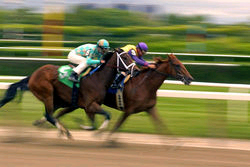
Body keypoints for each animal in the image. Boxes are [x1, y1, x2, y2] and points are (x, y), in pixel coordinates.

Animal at [0, 51, 137, 138]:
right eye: (125, 58)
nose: (135, 70)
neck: (97, 79)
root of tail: (32, 76)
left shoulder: (89, 107)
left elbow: (94, 124)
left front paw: (91, 129)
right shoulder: (89, 105)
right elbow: (106, 115)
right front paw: (94, 130)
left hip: (58, 100)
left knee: (49, 115)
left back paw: (56, 128)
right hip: (47, 94)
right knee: (49, 115)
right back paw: (64, 131)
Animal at [52, 53, 193, 136]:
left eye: (182, 64)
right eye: (177, 65)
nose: (190, 78)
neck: (144, 85)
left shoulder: (150, 108)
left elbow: (162, 126)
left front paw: (175, 144)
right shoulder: (128, 110)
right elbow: (116, 127)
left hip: (75, 103)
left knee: (59, 113)